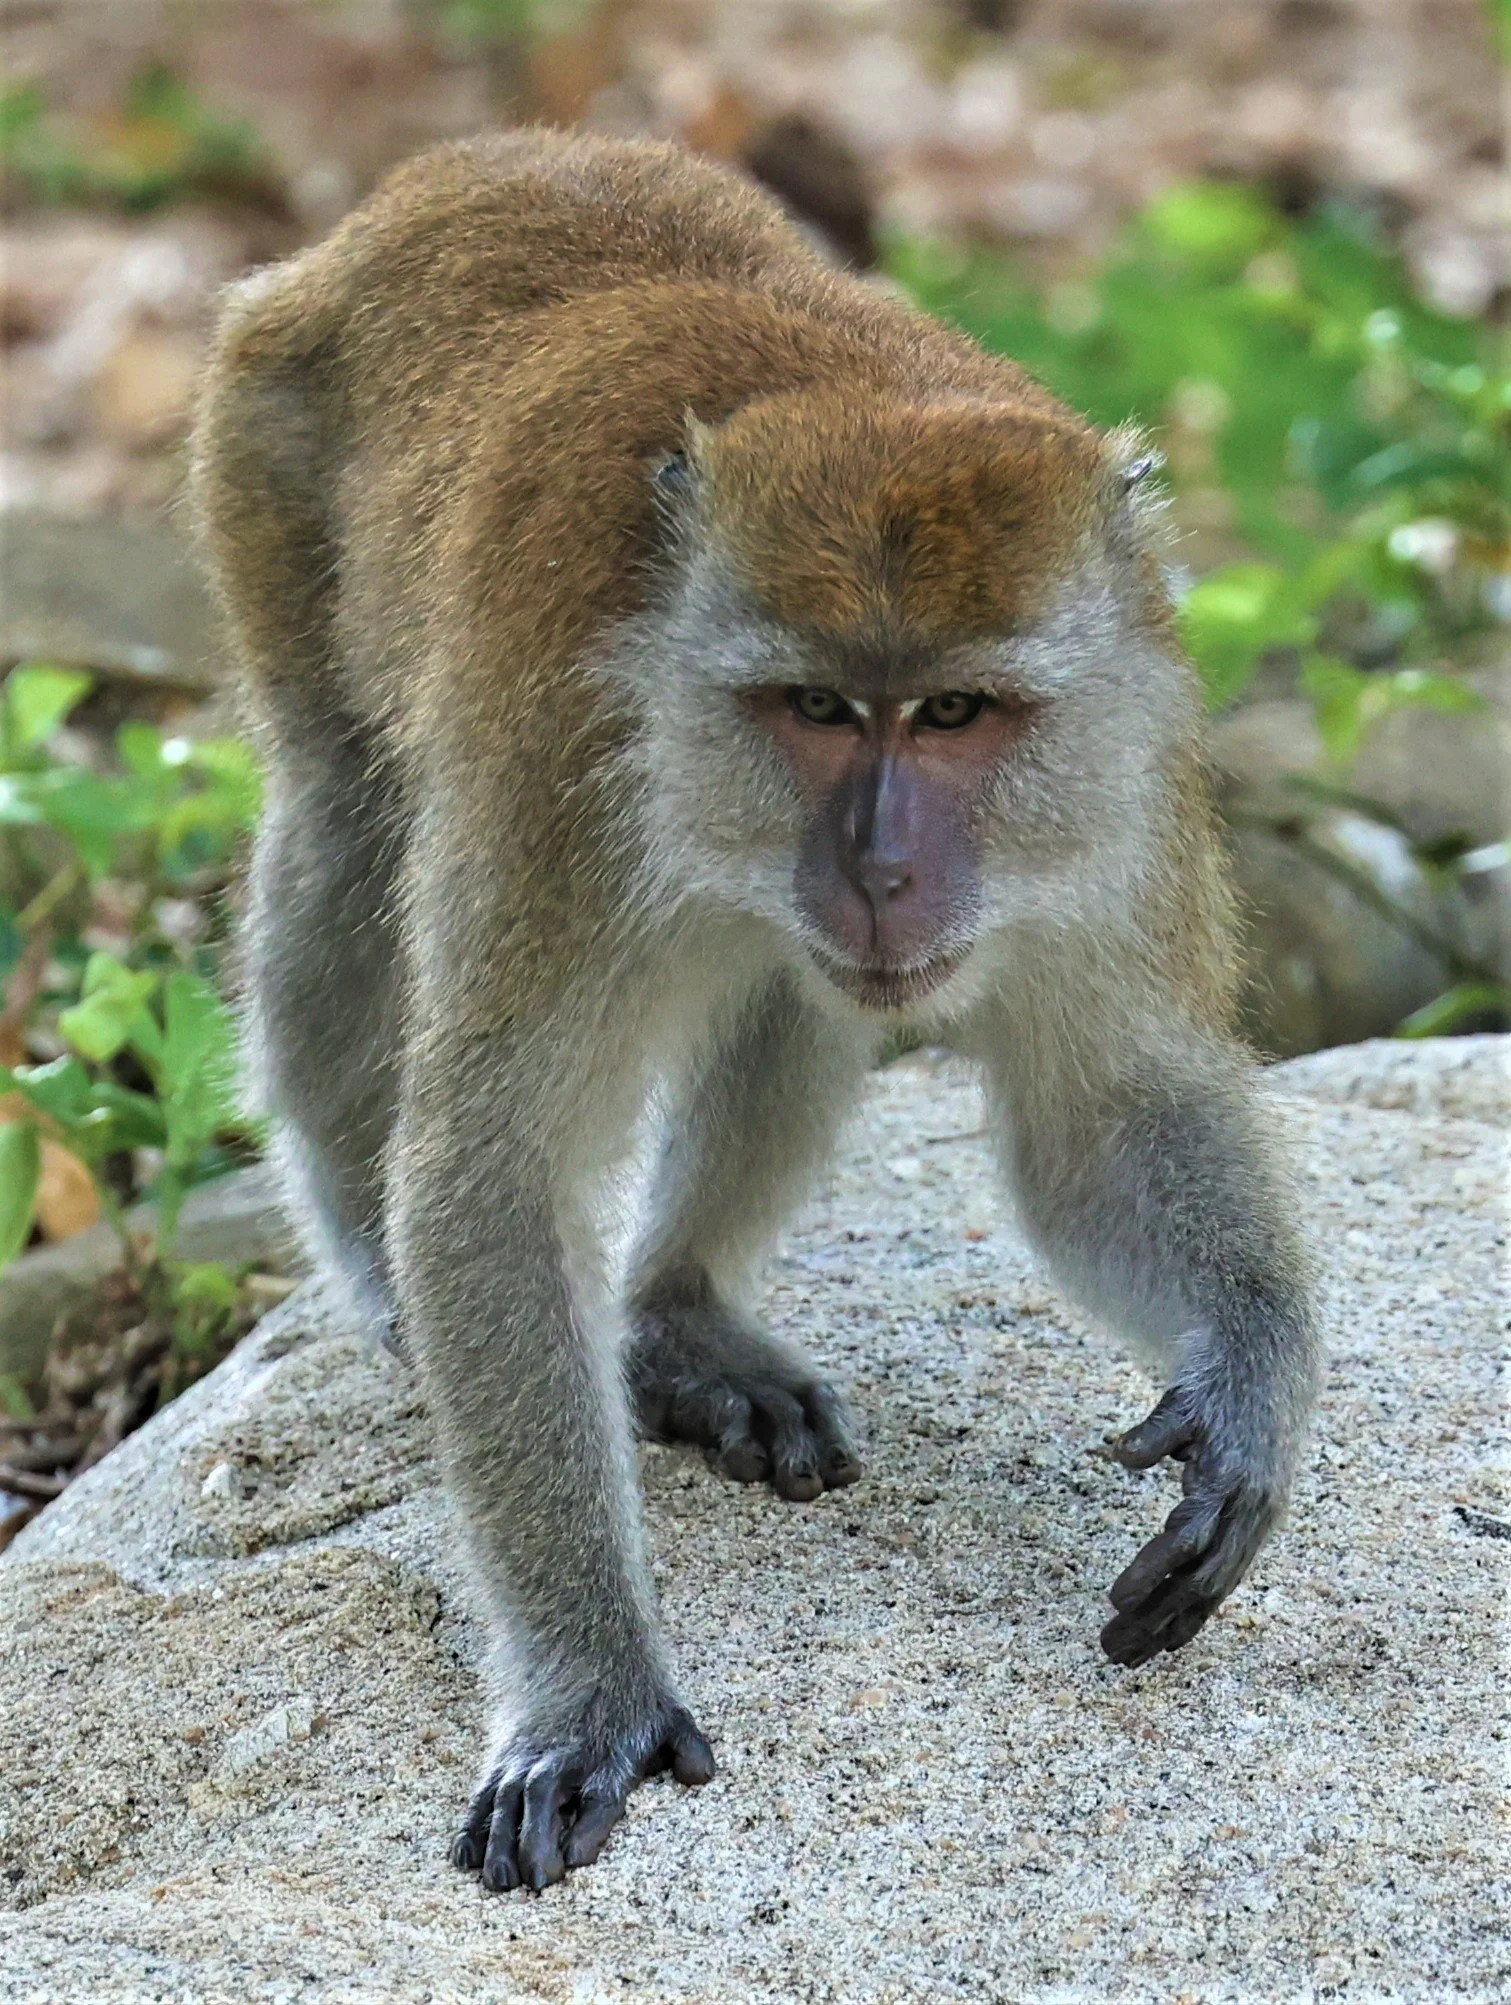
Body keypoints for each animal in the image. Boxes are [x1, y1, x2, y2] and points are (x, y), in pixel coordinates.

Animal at [189, 129, 1320, 1896]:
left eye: (954, 712)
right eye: (817, 708)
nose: (878, 865)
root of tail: (474, 162)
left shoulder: (1122, 771)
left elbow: (1099, 1113)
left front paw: (1243, 1386)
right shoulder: (557, 762)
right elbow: (496, 1165)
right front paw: (589, 1678)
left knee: (791, 983)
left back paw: (677, 1317)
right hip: (265, 458)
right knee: (343, 828)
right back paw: (377, 1265)